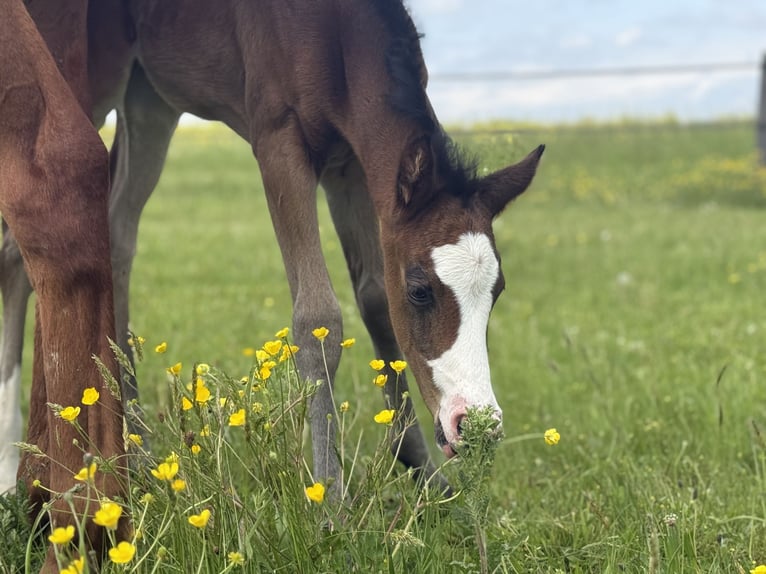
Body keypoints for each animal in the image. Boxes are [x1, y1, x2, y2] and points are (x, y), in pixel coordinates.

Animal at [1, 0, 544, 510]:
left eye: (497, 291)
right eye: (420, 290)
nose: (476, 426)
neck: (334, 30)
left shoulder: (351, 165)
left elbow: (373, 300)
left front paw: (426, 477)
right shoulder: (280, 143)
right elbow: (318, 318)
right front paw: (332, 504)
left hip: (149, 101)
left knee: (115, 236)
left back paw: (135, 450)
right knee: (25, 238)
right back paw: (22, 469)